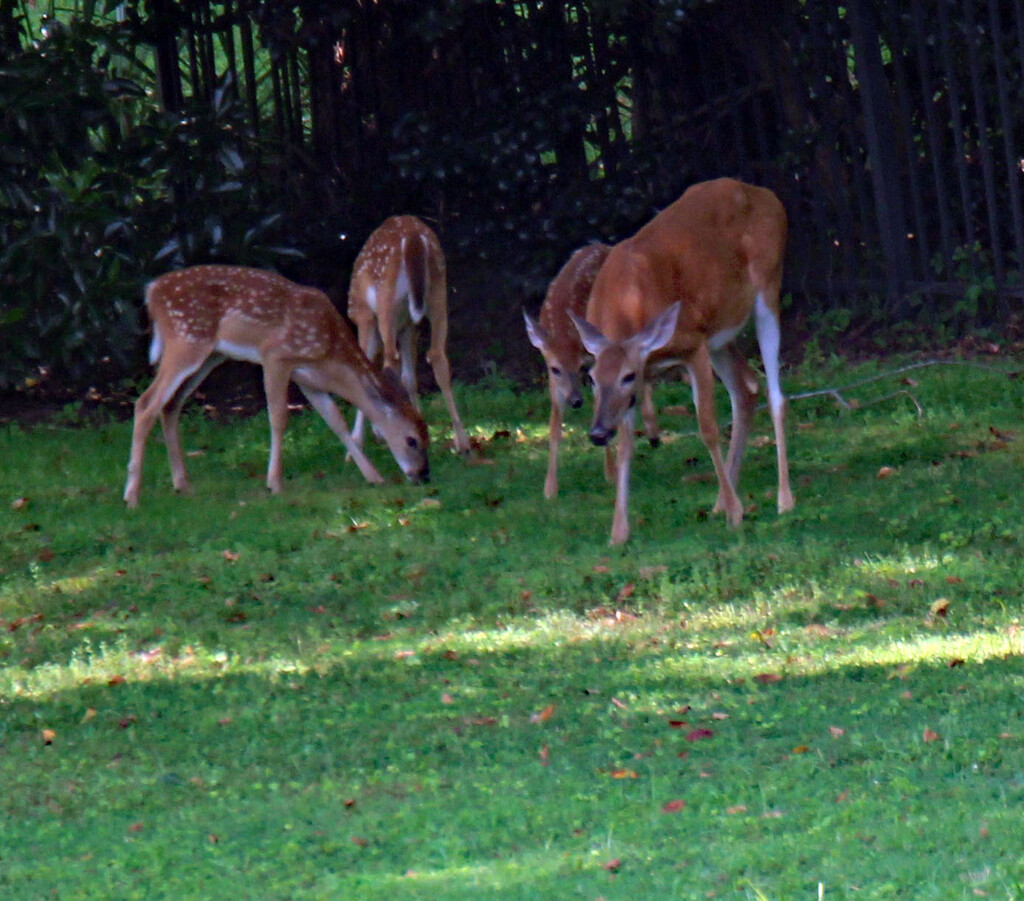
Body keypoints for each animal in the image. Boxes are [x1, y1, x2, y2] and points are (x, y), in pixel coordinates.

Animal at [122, 266, 428, 507]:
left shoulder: (309, 380)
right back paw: (132, 497)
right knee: (146, 403)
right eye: (412, 440)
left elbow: (336, 422)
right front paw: (275, 484)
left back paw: (182, 485)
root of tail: (152, 292)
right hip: (185, 340)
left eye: (427, 437)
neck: (330, 353)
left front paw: (374, 477)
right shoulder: (276, 357)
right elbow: (279, 417)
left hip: (210, 355)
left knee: (170, 405)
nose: (423, 476)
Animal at [346, 216, 468, 456]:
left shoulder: (364, 316)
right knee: (437, 355)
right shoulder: (408, 326)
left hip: (386, 301)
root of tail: (413, 238)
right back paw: (462, 443)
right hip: (438, 293)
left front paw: (358, 441)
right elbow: (408, 378)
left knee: (390, 360)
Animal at [524, 244, 610, 499]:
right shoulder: (553, 381)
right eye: (555, 369)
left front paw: (610, 473)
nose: (576, 401)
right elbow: (554, 428)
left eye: (581, 367)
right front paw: (550, 488)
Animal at [573, 176, 794, 540]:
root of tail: (768, 195)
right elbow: (626, 446)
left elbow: (708, 429)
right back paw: (721, 501)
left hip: (768, 286)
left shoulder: (693, 346)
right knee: (747, 387)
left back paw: (783, 499)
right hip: (721, 331)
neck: (630, 303)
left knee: (776, 395)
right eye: (591, 379)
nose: (597, 433)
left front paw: (737, 515)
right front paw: (618, 532)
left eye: (627, 375)